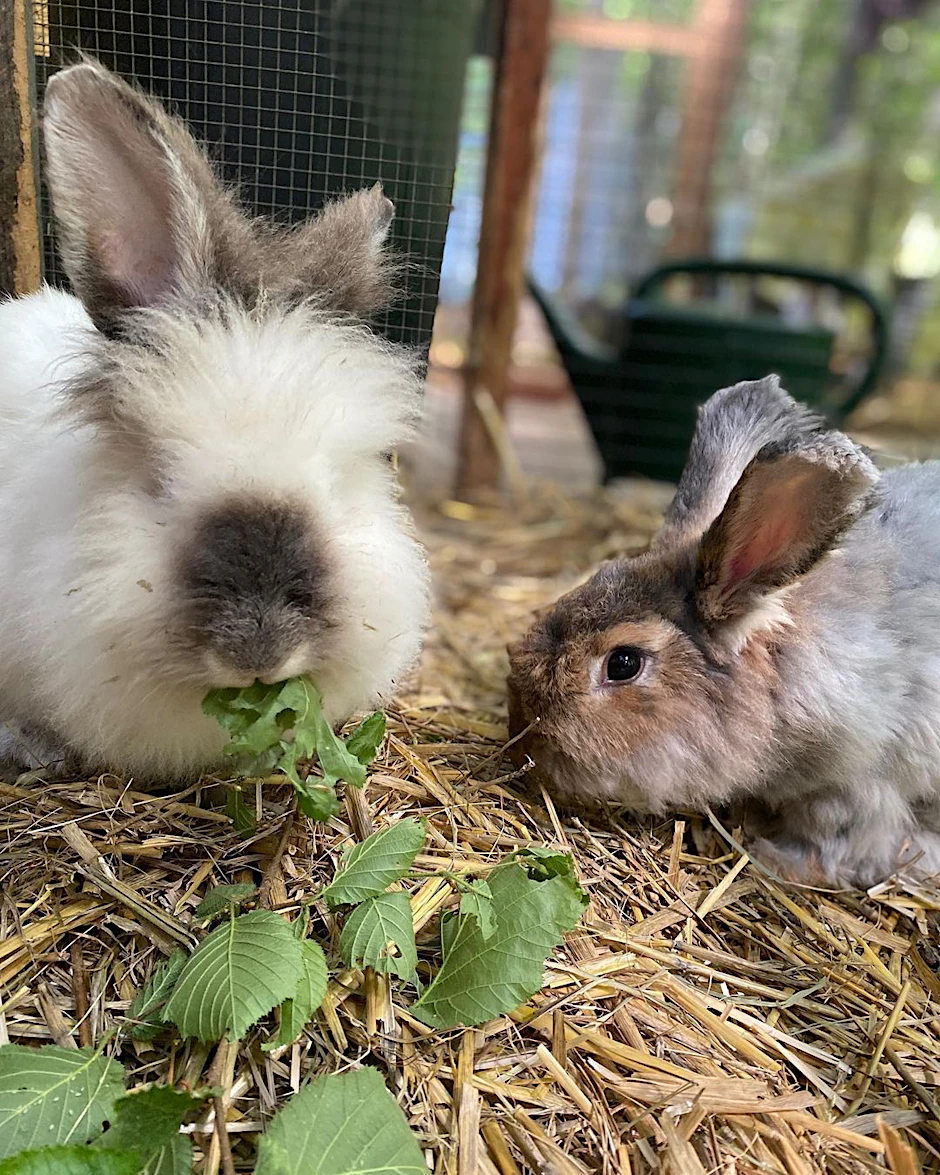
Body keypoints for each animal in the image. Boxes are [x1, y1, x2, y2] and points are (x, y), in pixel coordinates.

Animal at [507, 374, 940, 889]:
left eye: (623, 663)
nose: (522, 740)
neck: (784, 671)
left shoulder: (856, 785)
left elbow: (835, 842)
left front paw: (772, 856)